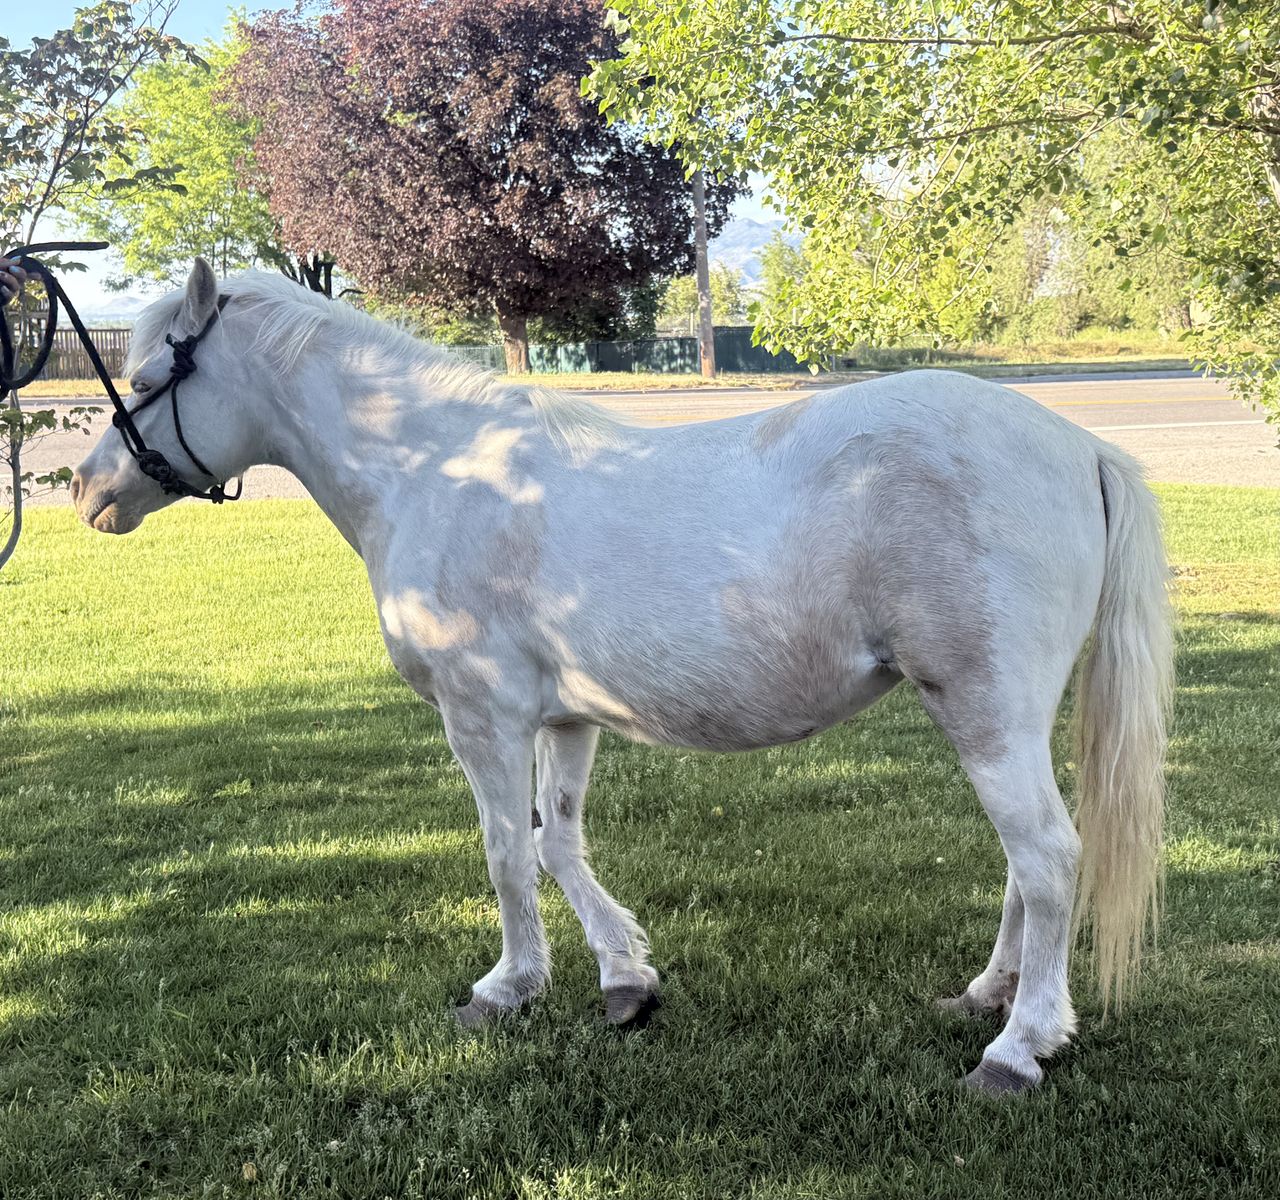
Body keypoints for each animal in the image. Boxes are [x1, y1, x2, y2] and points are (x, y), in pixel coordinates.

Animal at [71, 260, 1173, 1093]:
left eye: (148, 375)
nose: (87, 489)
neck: (436, 474)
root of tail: (1078, 447)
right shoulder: (568, 721)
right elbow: (558, 844)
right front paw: (624, 979)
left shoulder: (483, 719)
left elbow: (505, 856)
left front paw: (506, 989)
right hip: (1001, 717)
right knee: (1023, 866)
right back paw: (988, 994)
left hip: (985, 710)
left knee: (1046, 858)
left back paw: (1016, 1047)